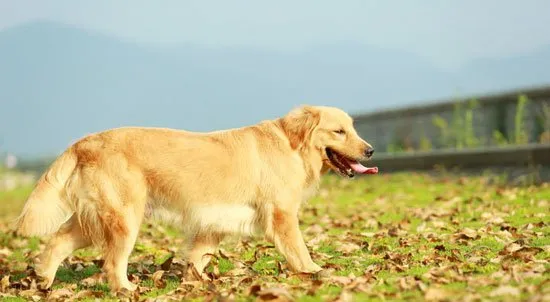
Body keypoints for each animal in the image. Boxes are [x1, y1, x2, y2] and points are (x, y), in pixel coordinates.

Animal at [16, 105, 380, 292]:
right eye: (339, 131)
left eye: (353, 128)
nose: (371, 150)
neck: (291, 145)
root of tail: (84, 141)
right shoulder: (281, 215)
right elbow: (299, 250)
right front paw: (313, 271)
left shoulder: (213, 222)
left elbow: (198, 256)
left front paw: (197, 282)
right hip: (125, 218)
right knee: (111, 262)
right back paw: (125, 289)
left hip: (96, 218)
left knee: (57, 241)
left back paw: (43, 279)